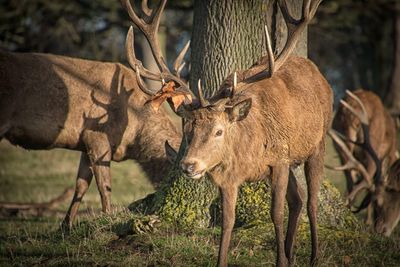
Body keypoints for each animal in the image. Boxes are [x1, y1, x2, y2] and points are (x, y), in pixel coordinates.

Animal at [0, 0, 192, 230]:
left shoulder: (85, 143)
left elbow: (81, 185)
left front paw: (65, 228)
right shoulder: (97, 136)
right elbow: (105, 187)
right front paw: (107, 220)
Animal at [162, 1, 332, 266]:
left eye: (219, 131)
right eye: (188, 129)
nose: (189, 165)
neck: (249, 153)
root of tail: (317, 71)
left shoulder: (279, 159)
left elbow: (276, 213)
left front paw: (280, 261)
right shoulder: (228, 177)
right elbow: (227, 221)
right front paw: (222, 261)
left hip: (318, 142)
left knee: (311, 201)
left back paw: (313, 257)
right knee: (298, 199)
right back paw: (291, 254)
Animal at [328, 91, 400, 237]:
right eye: (377, 202)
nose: (383, 230)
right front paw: (368, 222)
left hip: (342, 145)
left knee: (351, 179)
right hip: (373, 143)